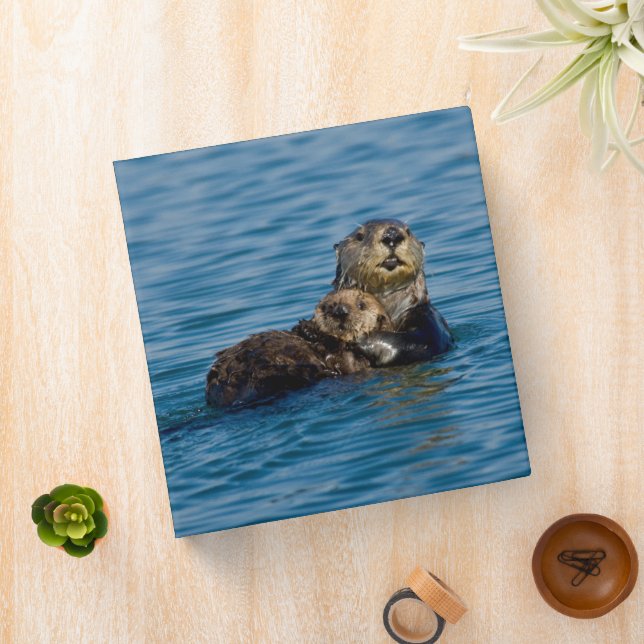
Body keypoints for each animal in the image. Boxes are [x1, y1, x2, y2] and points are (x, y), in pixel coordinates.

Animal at [205, 290, 392, 407]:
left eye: (361, 305)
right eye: (327, 306)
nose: (340, 310)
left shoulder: (354, 362)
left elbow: (344, 360)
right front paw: (306, 328)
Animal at [333, 219, 453, 366]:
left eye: (408, 231)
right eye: (359, 236)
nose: (392, 235)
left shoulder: (429, 319)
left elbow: (419, 343)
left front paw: (360, 338)